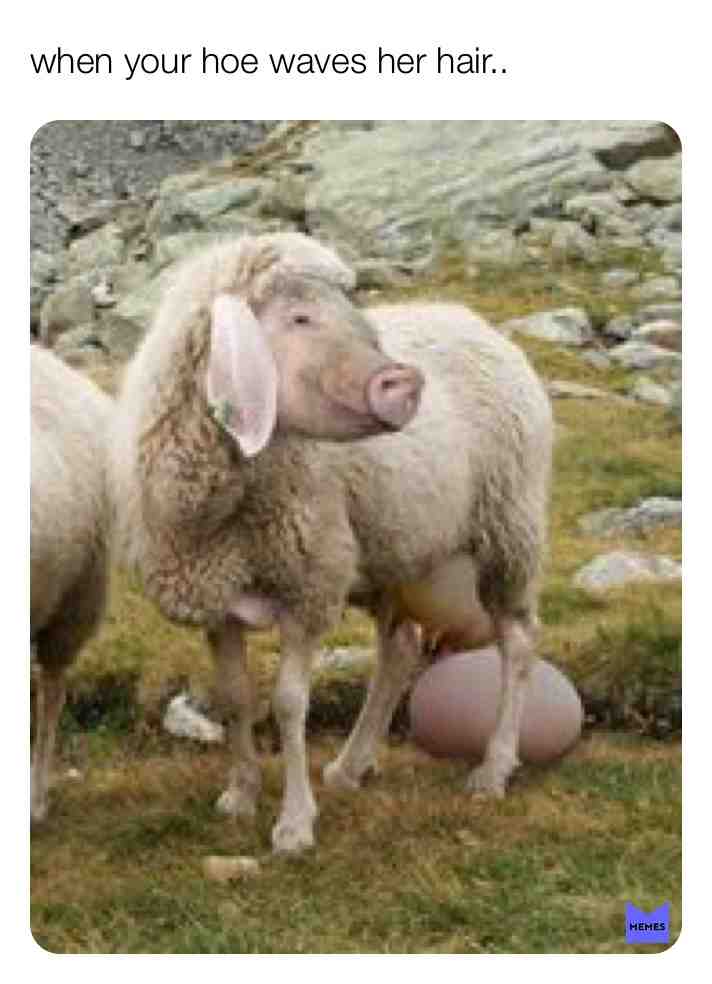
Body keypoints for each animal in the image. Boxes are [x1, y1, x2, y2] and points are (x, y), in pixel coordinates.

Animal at [110, 232, 552, 853]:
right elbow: (234, 697)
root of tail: (477, 322)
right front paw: (240, 794)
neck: (226, 503)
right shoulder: (217, 595)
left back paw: (494, 769)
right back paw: (351, 765)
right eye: (299, 317)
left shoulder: (309, 584)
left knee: (516, 642)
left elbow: (289, 703)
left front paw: (294, 824)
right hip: (392, 548)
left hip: (508, 530)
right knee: (400, 651)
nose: (404, 384)